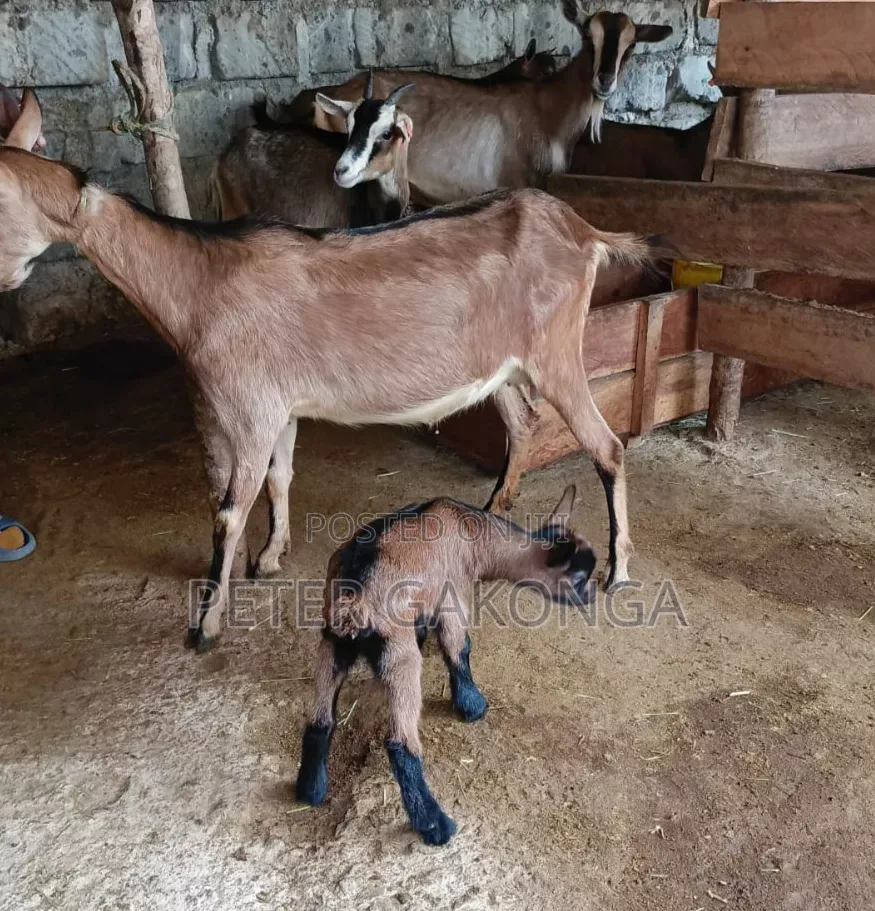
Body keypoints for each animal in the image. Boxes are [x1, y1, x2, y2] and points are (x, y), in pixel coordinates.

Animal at [296, 486, 595, 845]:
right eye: (579, 577)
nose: (593, 595)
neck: (475, 535)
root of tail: (352, 604)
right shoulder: (454, 594)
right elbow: (458, 648)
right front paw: (472, 705)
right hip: (399, 653)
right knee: (399, 742)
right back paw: (434, 823)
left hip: (331, 643)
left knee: (320, 720)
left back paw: (310, 790)